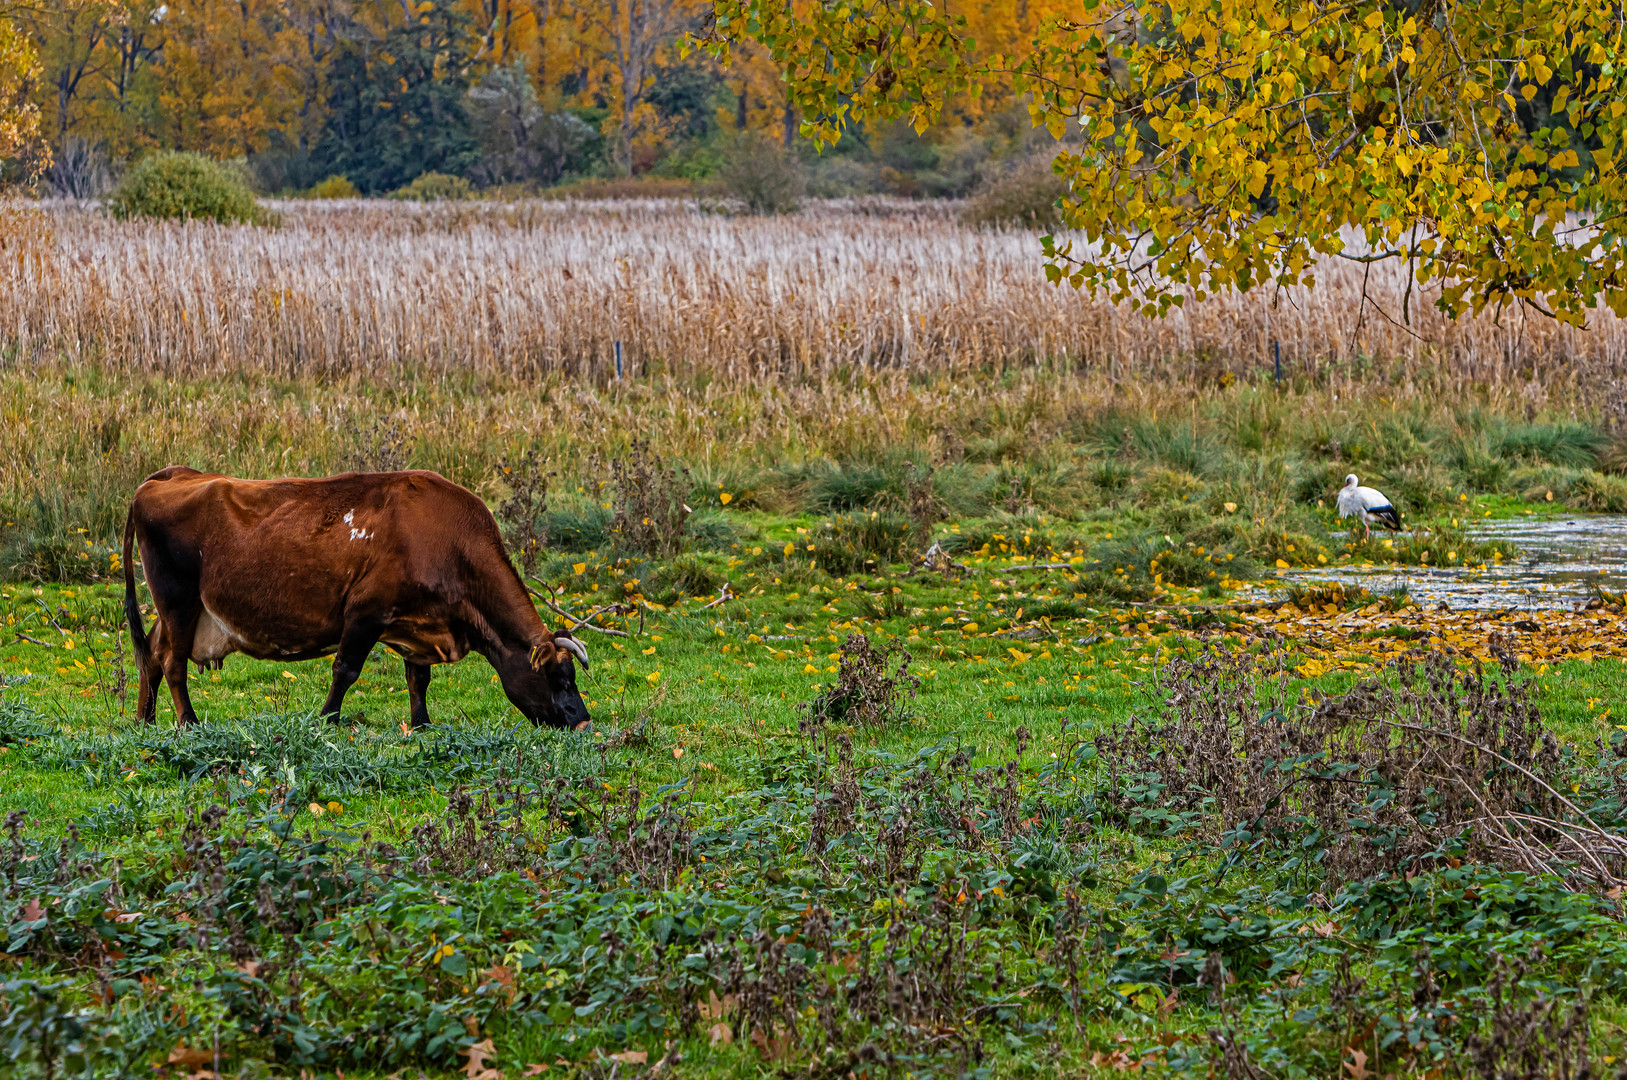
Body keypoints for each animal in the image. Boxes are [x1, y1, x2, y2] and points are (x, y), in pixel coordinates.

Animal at [122, 465, 592, 728]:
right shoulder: (366, 612)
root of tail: (168, 475)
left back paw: (145, 719)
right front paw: (328, 720)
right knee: (173, 662)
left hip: (181, 610)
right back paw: (188, 723)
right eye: (559, 679)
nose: (585, 724)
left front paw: (422, 725)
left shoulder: (416, 624)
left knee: (153, 654)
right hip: (178, 600)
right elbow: (345, 670)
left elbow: (418, 679)